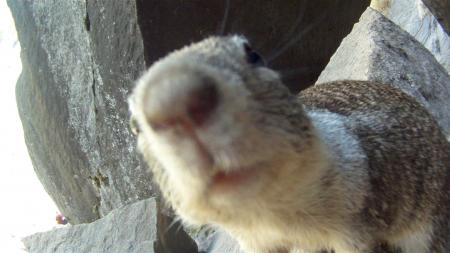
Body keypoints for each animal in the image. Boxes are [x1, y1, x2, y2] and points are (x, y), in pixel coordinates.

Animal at [126, 35, 450, 253]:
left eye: (253, 54)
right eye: (133, 126)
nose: (173, 99)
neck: (274, 215)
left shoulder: (357, 223)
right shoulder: (257, 243)